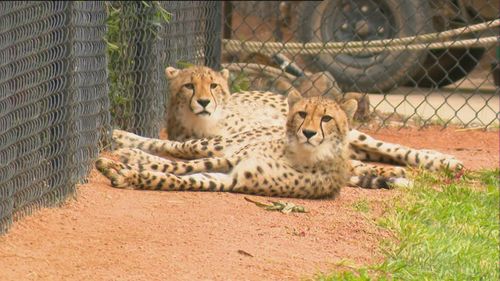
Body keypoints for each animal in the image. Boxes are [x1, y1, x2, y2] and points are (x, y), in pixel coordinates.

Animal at [95, 93, 408, 197]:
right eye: (302, 114)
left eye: (327, 118)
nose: (308, 133)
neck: (298, 153)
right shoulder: (229, 161)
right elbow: (175, 168)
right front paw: (121, 166)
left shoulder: (232, 179)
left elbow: (175, 179)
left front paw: (129, 175)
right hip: (217, 145)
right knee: (177, 150)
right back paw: (124, 143)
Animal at [155, 66, 460, 172]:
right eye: (189, 86)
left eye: (213, 85)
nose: (204, 101)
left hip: (357, 135)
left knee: (395, 148)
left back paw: (443, 159)